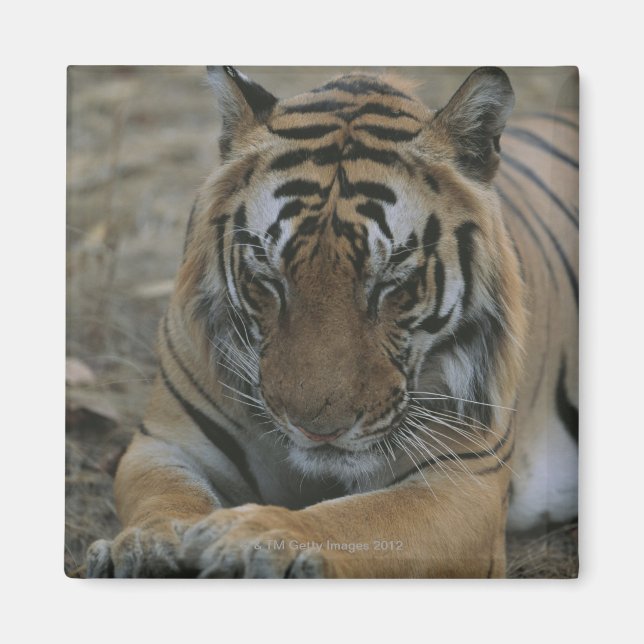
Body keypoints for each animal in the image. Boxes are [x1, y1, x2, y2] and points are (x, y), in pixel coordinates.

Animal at [85, 66, 578, 578]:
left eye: (391, 284)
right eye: (270, 279)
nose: (318, 431)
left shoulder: (464, 480)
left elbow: (359, 520)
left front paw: (251, 536)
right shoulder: (164, 443)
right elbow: (166, 498)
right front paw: (145, 547)